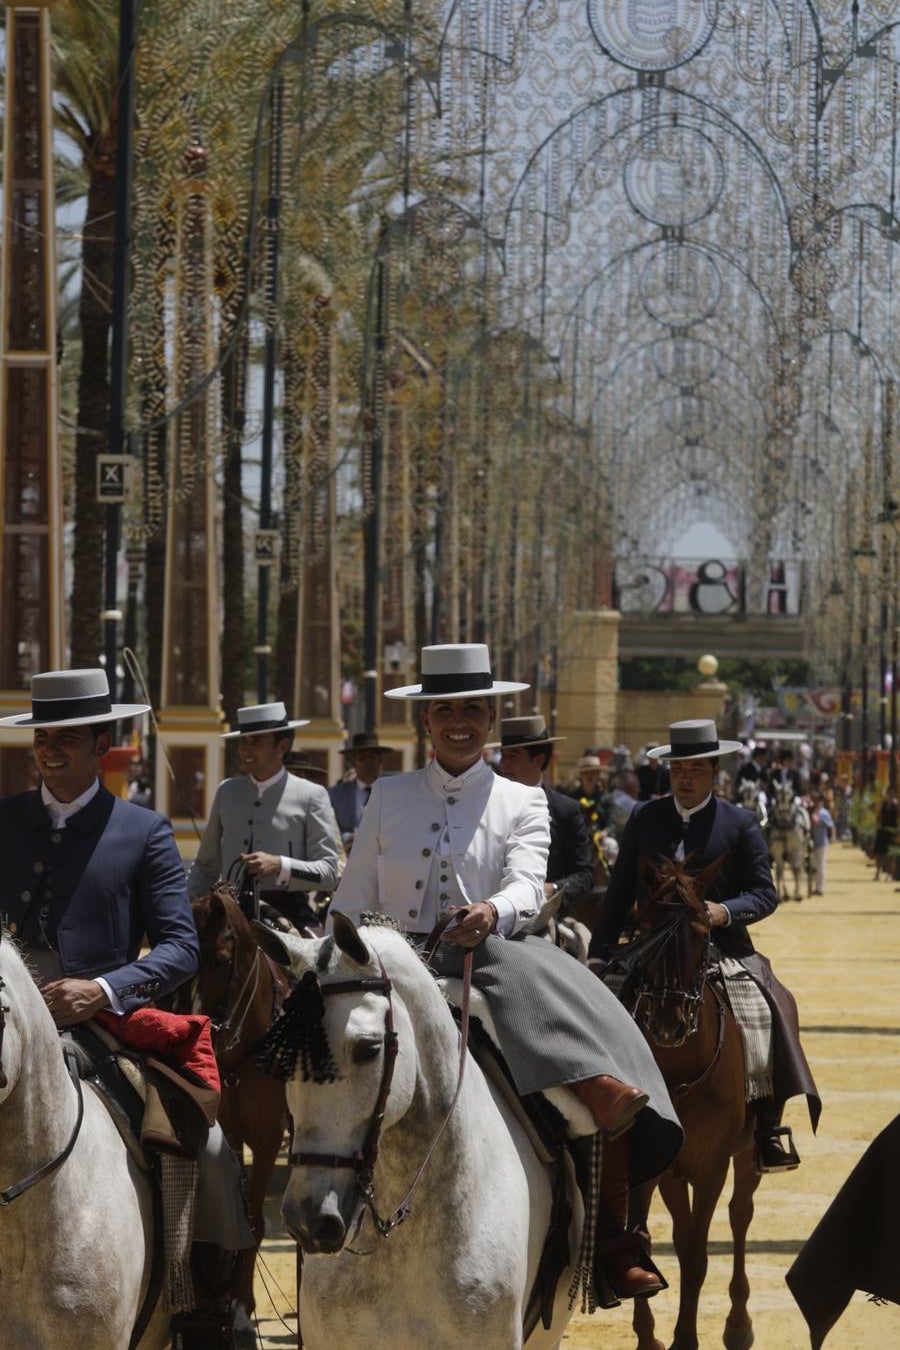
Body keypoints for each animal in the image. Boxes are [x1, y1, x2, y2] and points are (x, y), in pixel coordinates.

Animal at [612, 858, 761, 1350]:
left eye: (700, 932)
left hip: (747, 1152)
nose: (668, 1023)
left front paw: (686, 1339)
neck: (679, 1072)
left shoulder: (713, 1164)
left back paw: (739, 1324)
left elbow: (696, 1251)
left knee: (740, 1215)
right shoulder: (664, 1165)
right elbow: (650, 1236)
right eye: (644, 929)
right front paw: (650, 1336)